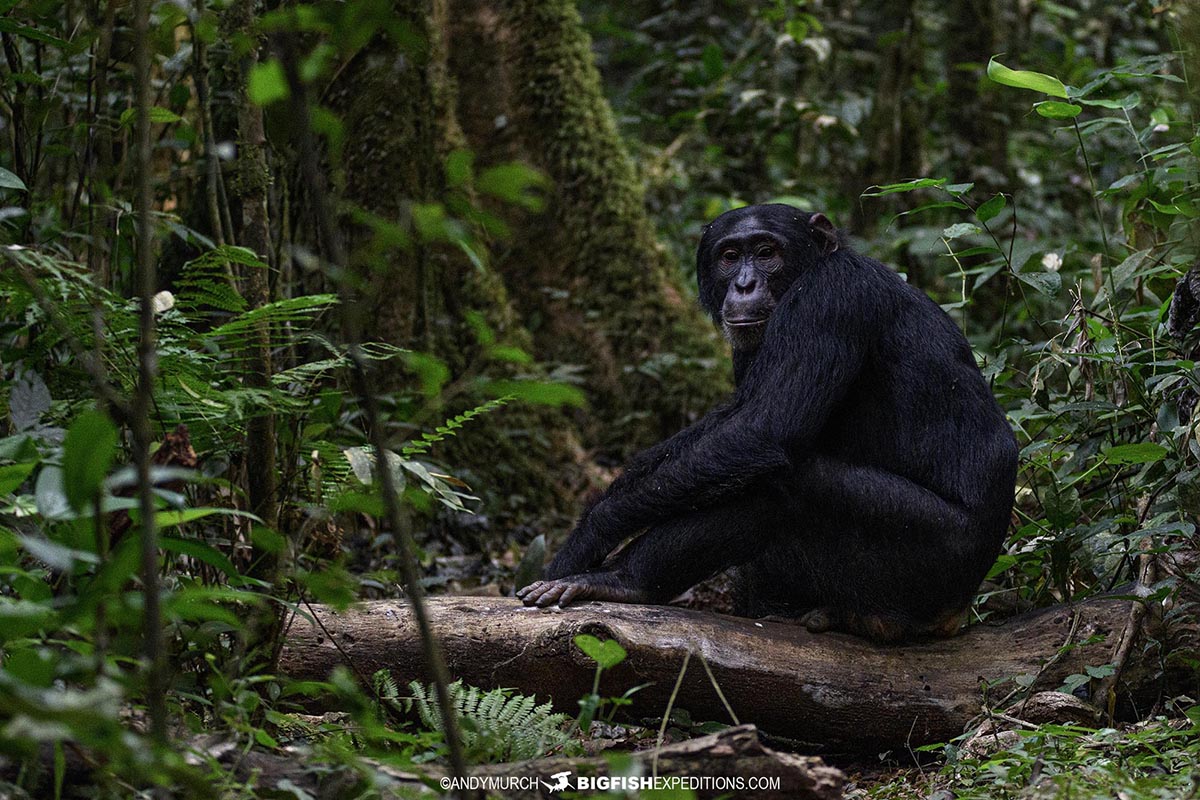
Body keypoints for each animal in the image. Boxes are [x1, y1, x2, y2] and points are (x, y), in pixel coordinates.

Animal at [516, 203, 1012, 642]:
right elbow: (731, 420)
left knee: (783, 487)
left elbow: (761, 428)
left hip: (923, 563)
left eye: (767, 252)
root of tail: (953, 616)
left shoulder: (829, 298)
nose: (744, 283)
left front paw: (589, 534)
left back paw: (622, 580)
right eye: (730, 256)